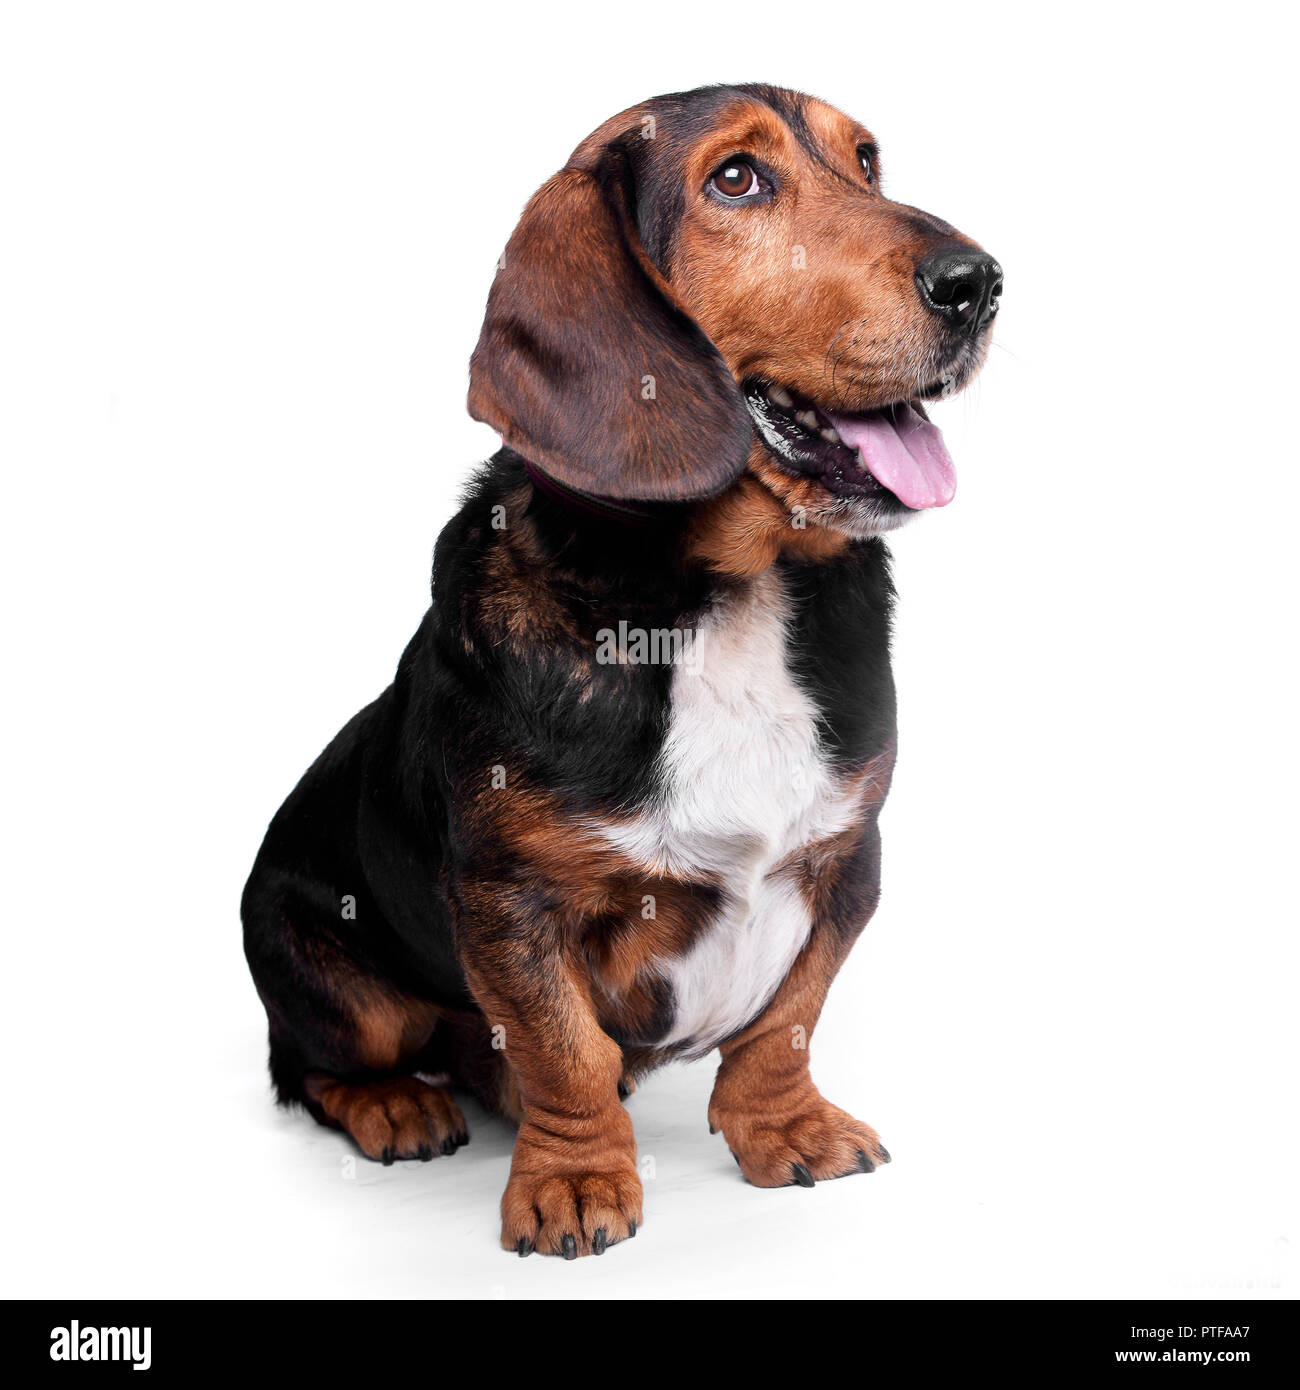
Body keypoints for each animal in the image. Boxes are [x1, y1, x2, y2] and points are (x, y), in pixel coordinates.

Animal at [244, 84, 1001, 1262]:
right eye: (736, 179)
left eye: (869, 160)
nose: (979, 282)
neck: (726, 602)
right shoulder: (510, 901)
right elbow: (564, 1053)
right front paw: (572, 1180)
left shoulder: (849, 854)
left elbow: (787, 1022)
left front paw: (783, 1128)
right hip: (317, 961)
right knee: (316, 1063)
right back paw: (396, 1104)